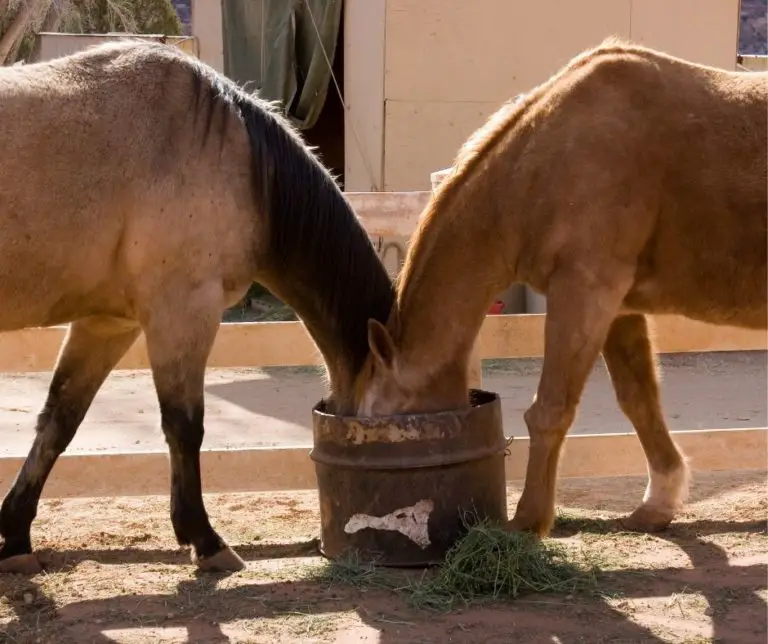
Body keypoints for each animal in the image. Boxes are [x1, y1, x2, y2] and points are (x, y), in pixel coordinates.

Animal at [0, 40, 392, 572]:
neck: (237, 153)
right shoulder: (184, 311)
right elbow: (185, 426)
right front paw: (205, 539)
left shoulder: (108, 322)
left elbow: (60, 420)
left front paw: (16, 535)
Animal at [354, 37, 768, 536]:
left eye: (380, 425)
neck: (547, 158)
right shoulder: (618, 307)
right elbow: (639, 400)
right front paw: (658, 503)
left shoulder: (584, 292)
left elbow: (550, 409)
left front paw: (528, 521)